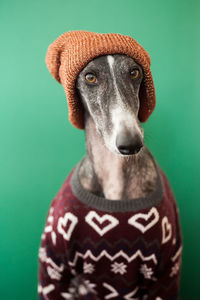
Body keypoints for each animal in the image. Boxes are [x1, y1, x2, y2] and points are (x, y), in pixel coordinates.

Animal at [38, 31, 183, 300]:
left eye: (134, 72)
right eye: (90, 77)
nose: (131, 144)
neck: (113, 172)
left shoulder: (166, 272)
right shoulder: (54, 268)